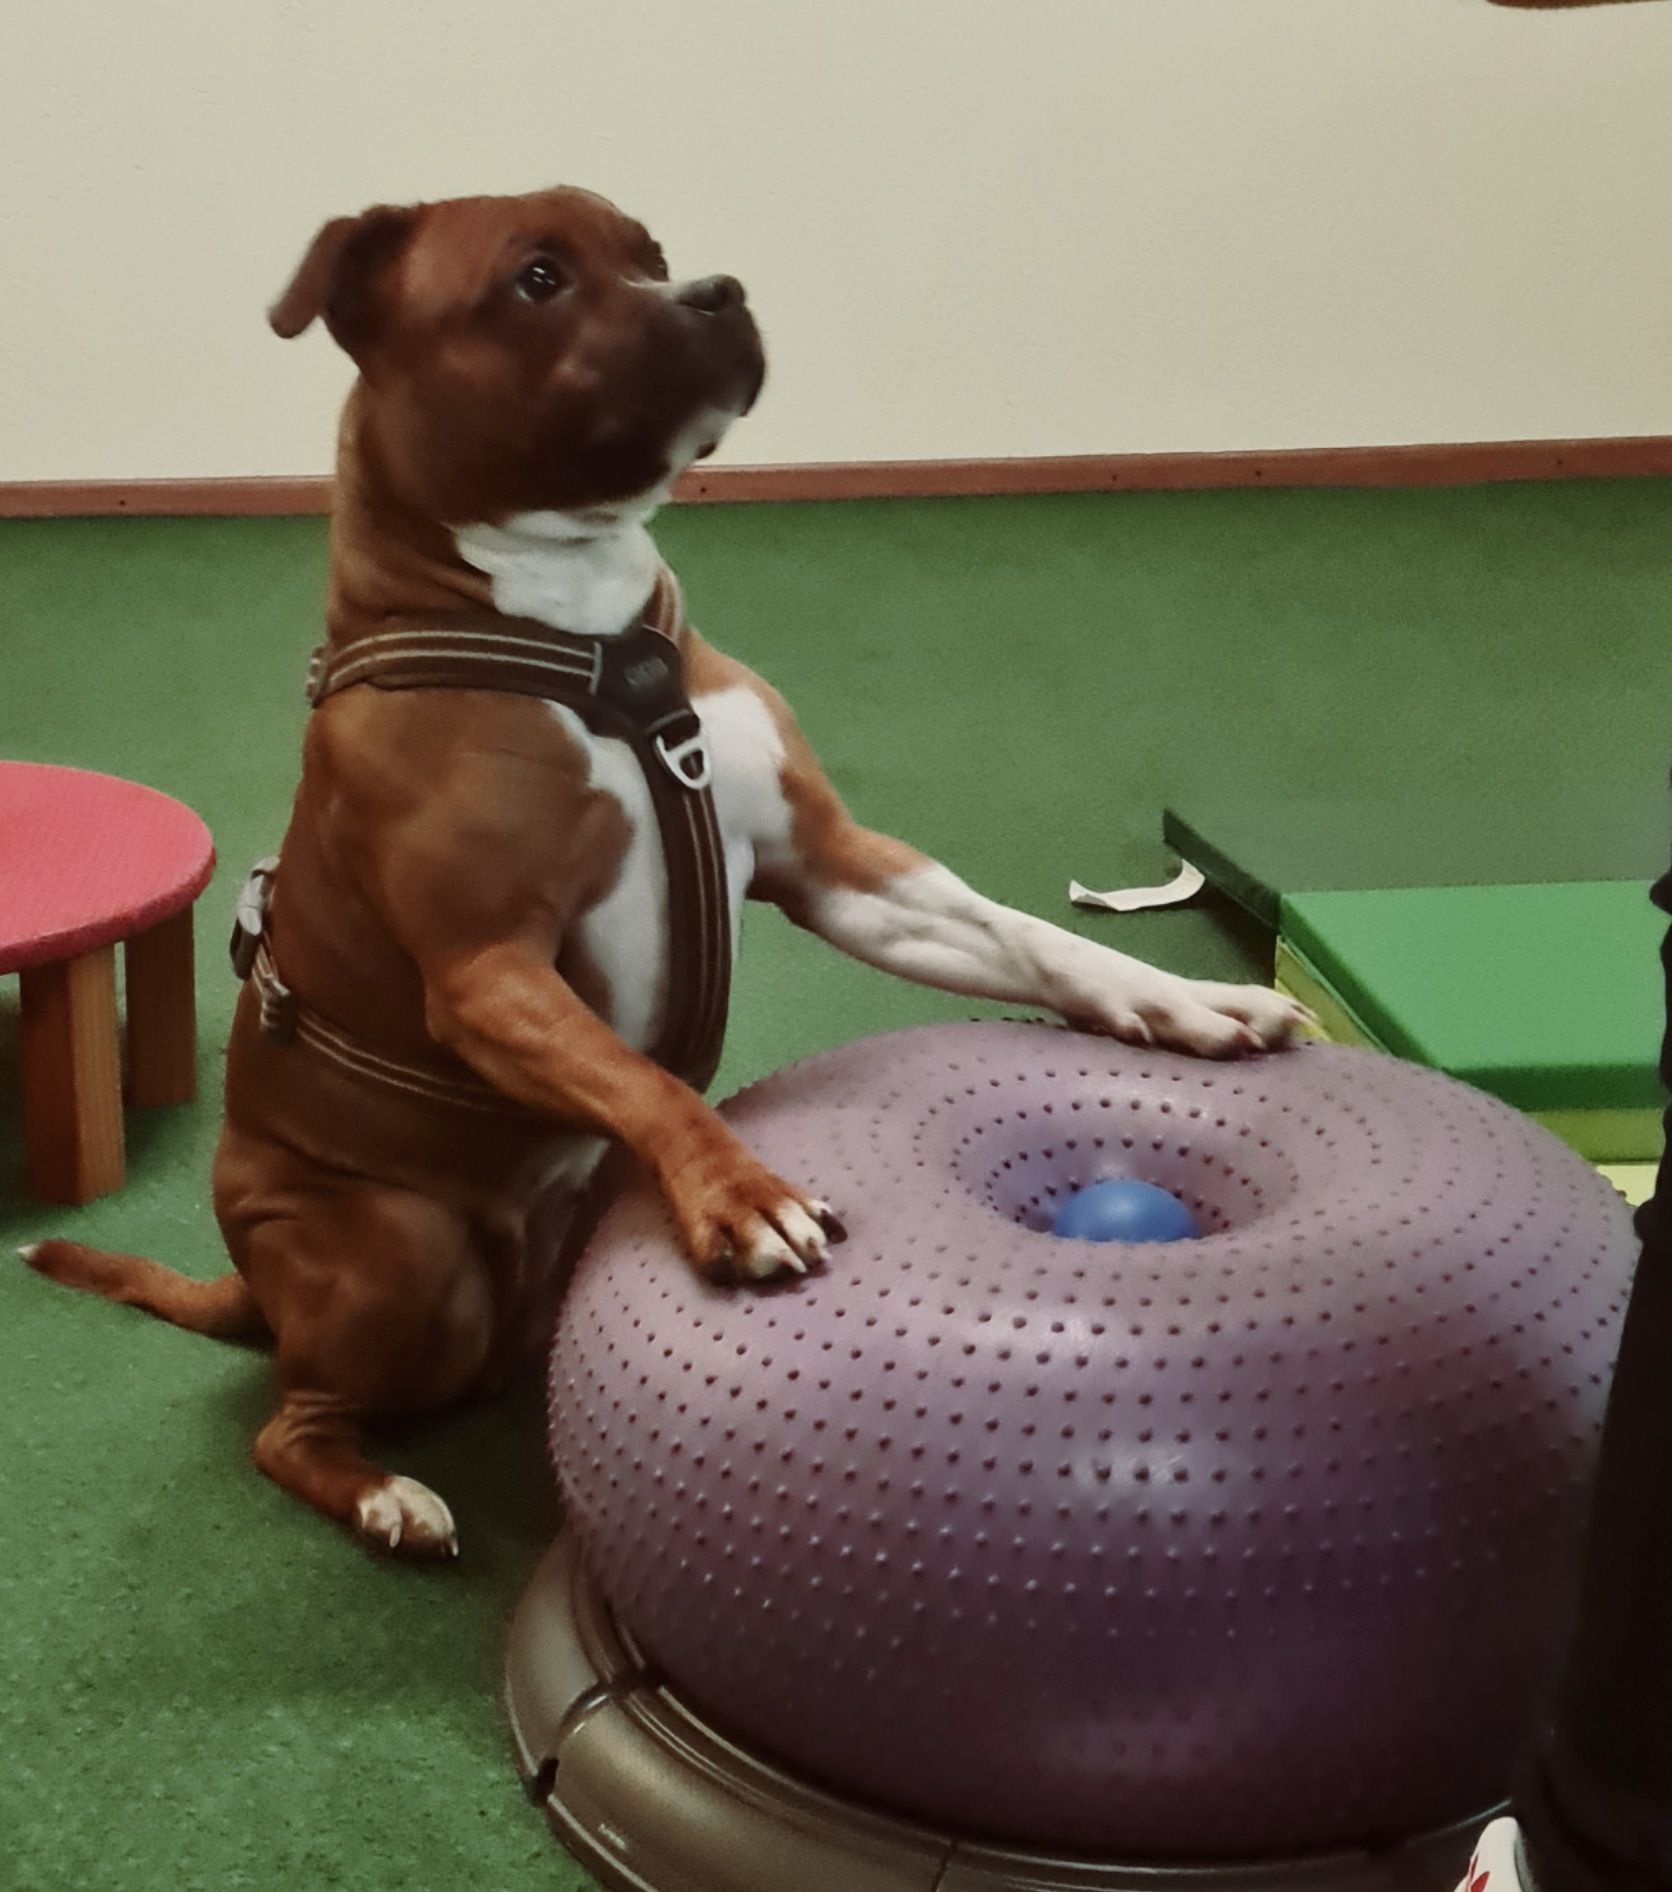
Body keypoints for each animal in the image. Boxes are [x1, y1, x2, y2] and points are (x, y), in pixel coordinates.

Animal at [25, 186, 1307, 1559]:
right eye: (537, 279)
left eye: (649, 250)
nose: (719, 291)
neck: (590, 640)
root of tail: (258, 1290)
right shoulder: (487, 971)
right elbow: (642, 1079)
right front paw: (740, 1192)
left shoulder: (838, 867)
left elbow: (1035, 939)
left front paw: (1190, 1002)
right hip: (396, 1252)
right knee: (289, 1424)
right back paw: (380, 1491)